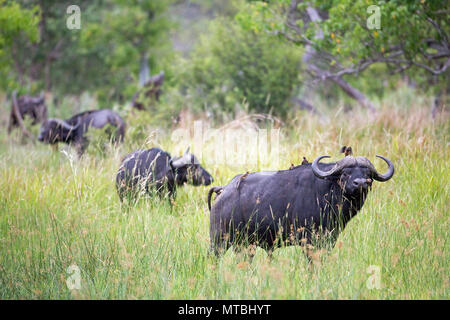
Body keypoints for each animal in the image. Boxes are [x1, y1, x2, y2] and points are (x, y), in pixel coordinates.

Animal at [207, 154, 394, 258]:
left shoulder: (329, 239)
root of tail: (224, 190)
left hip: (245, 245)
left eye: (367, 174)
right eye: (346, 173)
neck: (327, 192)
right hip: (219, 240)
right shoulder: (310, 241)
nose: (360, 183)